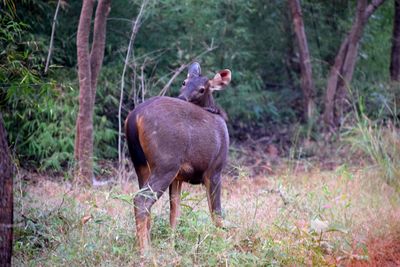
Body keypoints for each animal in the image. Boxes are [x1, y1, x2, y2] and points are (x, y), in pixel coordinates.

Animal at [125, 61, 231, 254]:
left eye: (202, 88)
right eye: (184, 82)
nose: (182, 97)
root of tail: (135, 117)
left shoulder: (178, 178)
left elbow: (175, 214)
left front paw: (171, 247)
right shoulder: (215, 169)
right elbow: (217, 214)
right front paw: (222, 247)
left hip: (141, 165)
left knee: (144, 202)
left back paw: (146, 245)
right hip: (166, 164)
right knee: (141, 200)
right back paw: (145, 251)